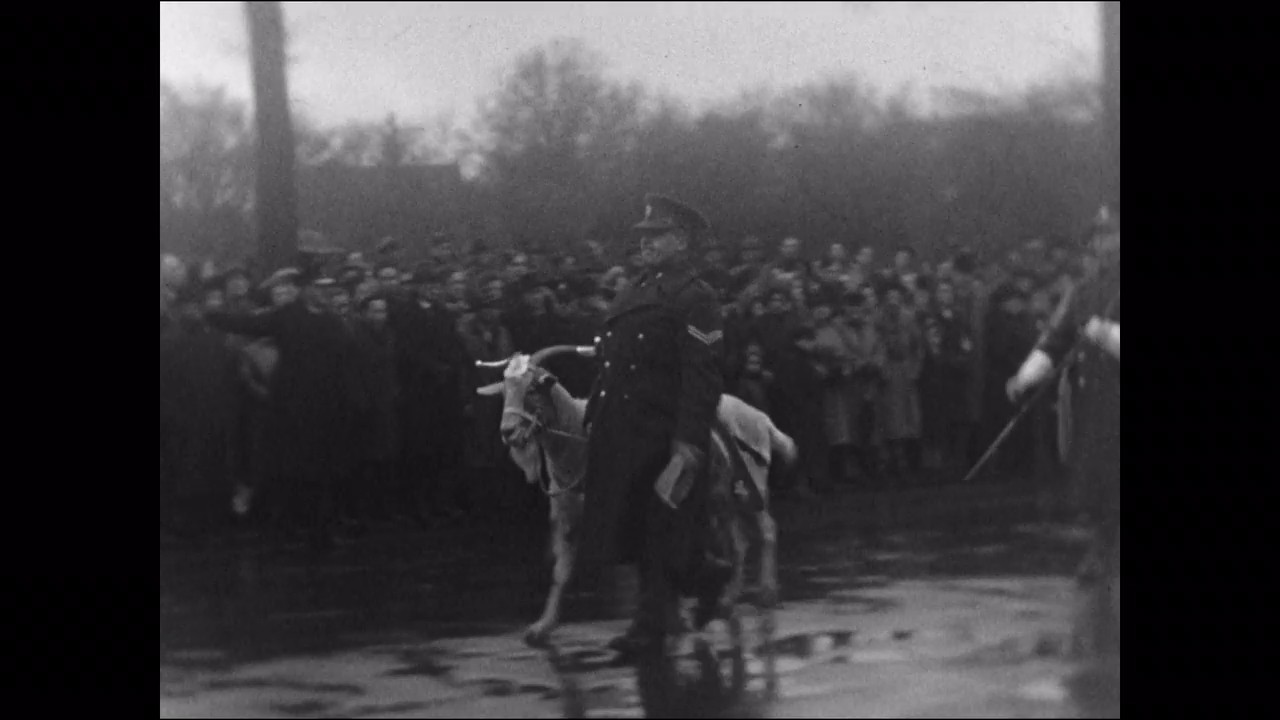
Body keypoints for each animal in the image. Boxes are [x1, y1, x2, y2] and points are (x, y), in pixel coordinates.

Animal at [475, 344, 795, 652]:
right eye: (505, 391)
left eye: (532, 389)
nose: (508, 432)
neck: (581, 442)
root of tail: (760, 417)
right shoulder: (568, 518)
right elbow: (562, 572)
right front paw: (542, 627)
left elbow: (652, 559)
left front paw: (670, 619)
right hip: (724, 499)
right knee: (739, 543)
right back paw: (726, 601)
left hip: (751, 485)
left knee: (766, 529)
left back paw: (765, 594)